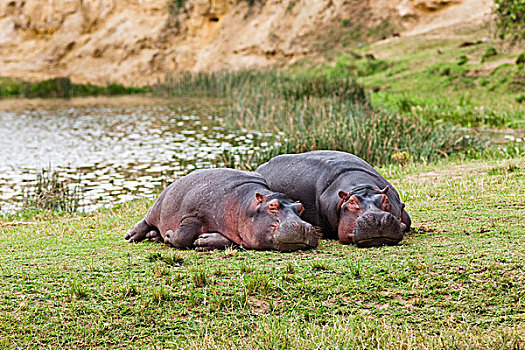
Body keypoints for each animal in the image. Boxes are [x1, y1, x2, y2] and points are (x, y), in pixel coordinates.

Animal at [125, 167, 318, 252]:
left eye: (300, 207)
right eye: (272, 206)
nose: (304, 226)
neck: (244, 204)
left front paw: (203, 241)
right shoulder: (192, 215)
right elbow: (182, 236)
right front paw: (169, 236)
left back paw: (153, 236)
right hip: (158, 206)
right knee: (146, 220)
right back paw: (131, 236)